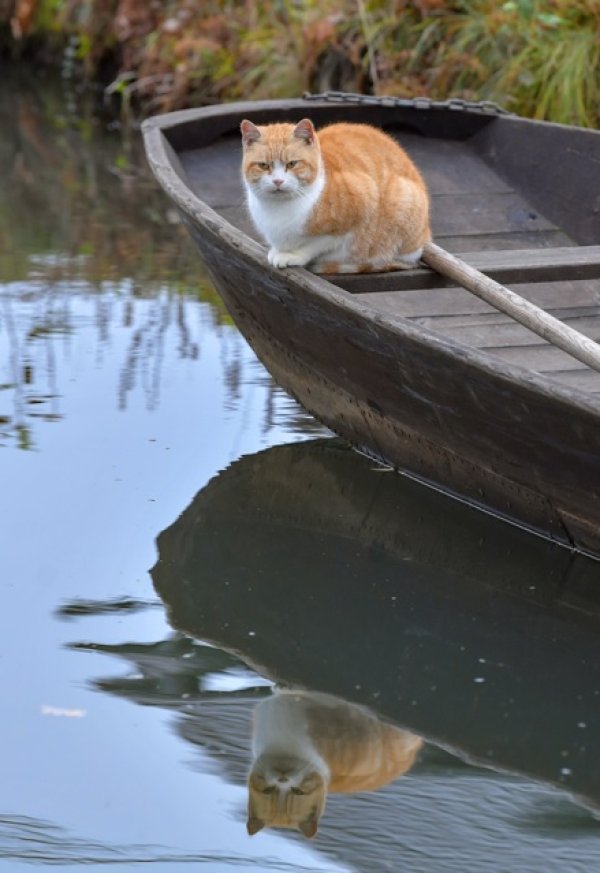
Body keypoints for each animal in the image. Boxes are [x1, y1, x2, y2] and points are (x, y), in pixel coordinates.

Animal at [240, 116, 432, 272]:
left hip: (404, 204)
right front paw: (278, 250)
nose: (278, 181)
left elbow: (315, 245)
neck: (278, 209)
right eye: (263, 165)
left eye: (292, 164)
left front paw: (292, 256)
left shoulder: (360, 208)